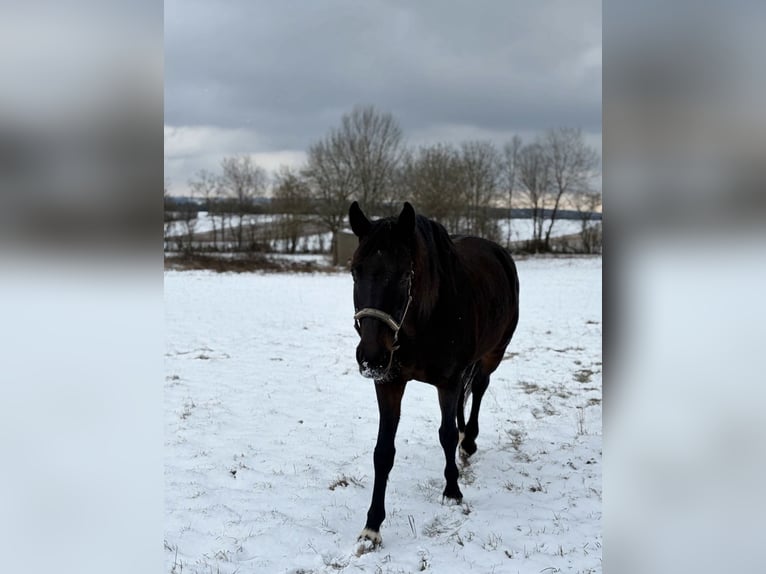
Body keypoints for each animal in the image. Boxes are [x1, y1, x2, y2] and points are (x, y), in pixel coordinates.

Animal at [348, 201, 520, 546]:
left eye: (404, 275)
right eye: (355, 271)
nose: (371, 357)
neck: (423, 320)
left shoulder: (448, 382)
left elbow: (446, 434)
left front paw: (452, 492)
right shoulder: (389, 383)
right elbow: (383, 452)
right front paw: (372, 526)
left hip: (493, 353)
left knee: (478, 388)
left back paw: (469, 443)